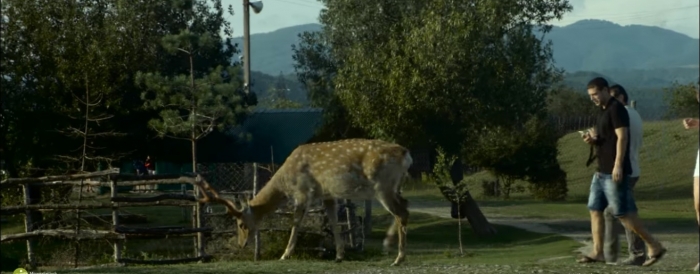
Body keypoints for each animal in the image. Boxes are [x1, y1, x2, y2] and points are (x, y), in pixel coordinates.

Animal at [194, 139, 412, 266]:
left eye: (241, 224)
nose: (241, 244)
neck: (285, 180)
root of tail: (406, 154)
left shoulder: (303, 191)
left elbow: (296, 222)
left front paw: (285, 254)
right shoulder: (328, 194)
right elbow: (334, 223)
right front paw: (339, 255)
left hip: (382, 185)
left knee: (401, 212)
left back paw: (398, 258)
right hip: (395, 185)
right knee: (406, 206)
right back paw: (391, 248)